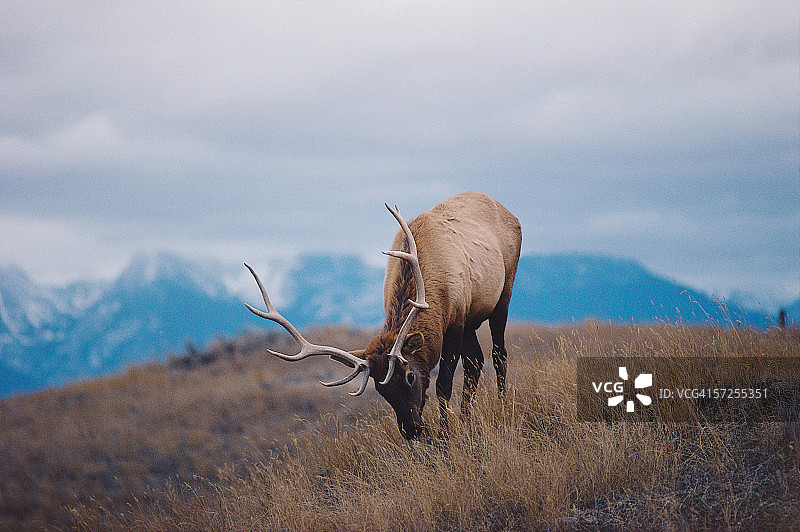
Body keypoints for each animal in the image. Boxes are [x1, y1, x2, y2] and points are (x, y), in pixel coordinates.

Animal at [245, 191, 521, 440]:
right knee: (476, 360)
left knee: (498, 354)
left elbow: (443, 384)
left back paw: (502, 404)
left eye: (410, 375)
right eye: (380, 388)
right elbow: (464, 369)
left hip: (503, 292)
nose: (411, 430)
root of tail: (510, 213)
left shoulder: (456, 319)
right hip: (474, 321)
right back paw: (466, 417)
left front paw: (445, 433)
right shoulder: (461, 321)